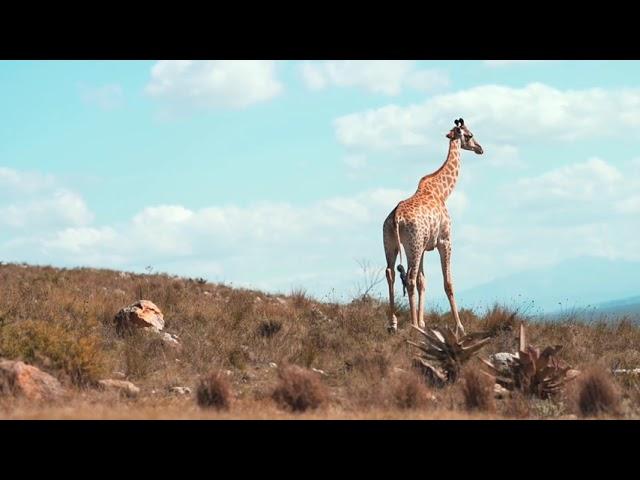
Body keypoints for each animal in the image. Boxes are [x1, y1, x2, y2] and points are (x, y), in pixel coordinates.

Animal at [382, 117, 482, 334]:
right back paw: (411, 325)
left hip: (393, 243)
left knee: (391, 273)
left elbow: (423, 280)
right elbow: (448, 283)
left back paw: (393, 324)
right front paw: (459, 327)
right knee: (408, 277)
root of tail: (396, 218)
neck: (442, 192)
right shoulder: (444, 240)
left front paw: (422, 323)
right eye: (470, 135)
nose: (480, 148)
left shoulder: (424, 247)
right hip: (413, 243)